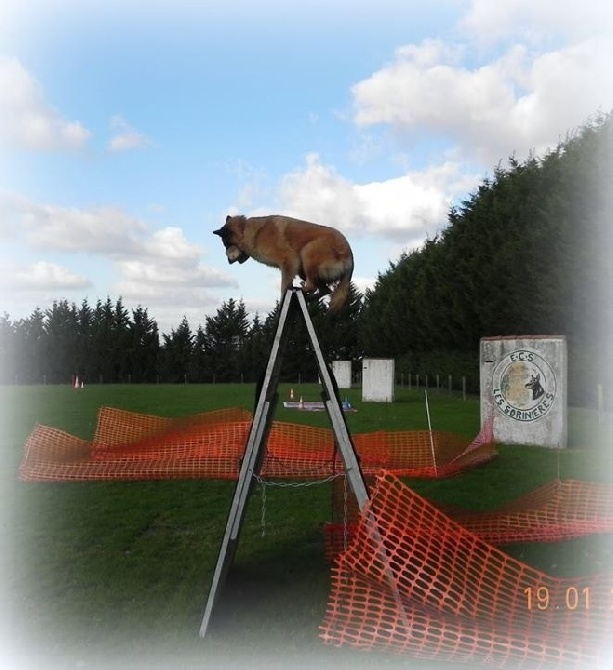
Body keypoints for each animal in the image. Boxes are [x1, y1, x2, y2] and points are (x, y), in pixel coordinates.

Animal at [213, 213, 354, 312]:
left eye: (226, 245)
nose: (228, 261)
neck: (247, 231)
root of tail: (350, 259)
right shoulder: (288, 268)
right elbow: (287, 285)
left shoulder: (289, 261)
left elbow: (284, 288)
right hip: (303, 270)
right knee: (325, 290)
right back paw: (307, 297)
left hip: (307, 252)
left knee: (313, 286)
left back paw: (302, 290)